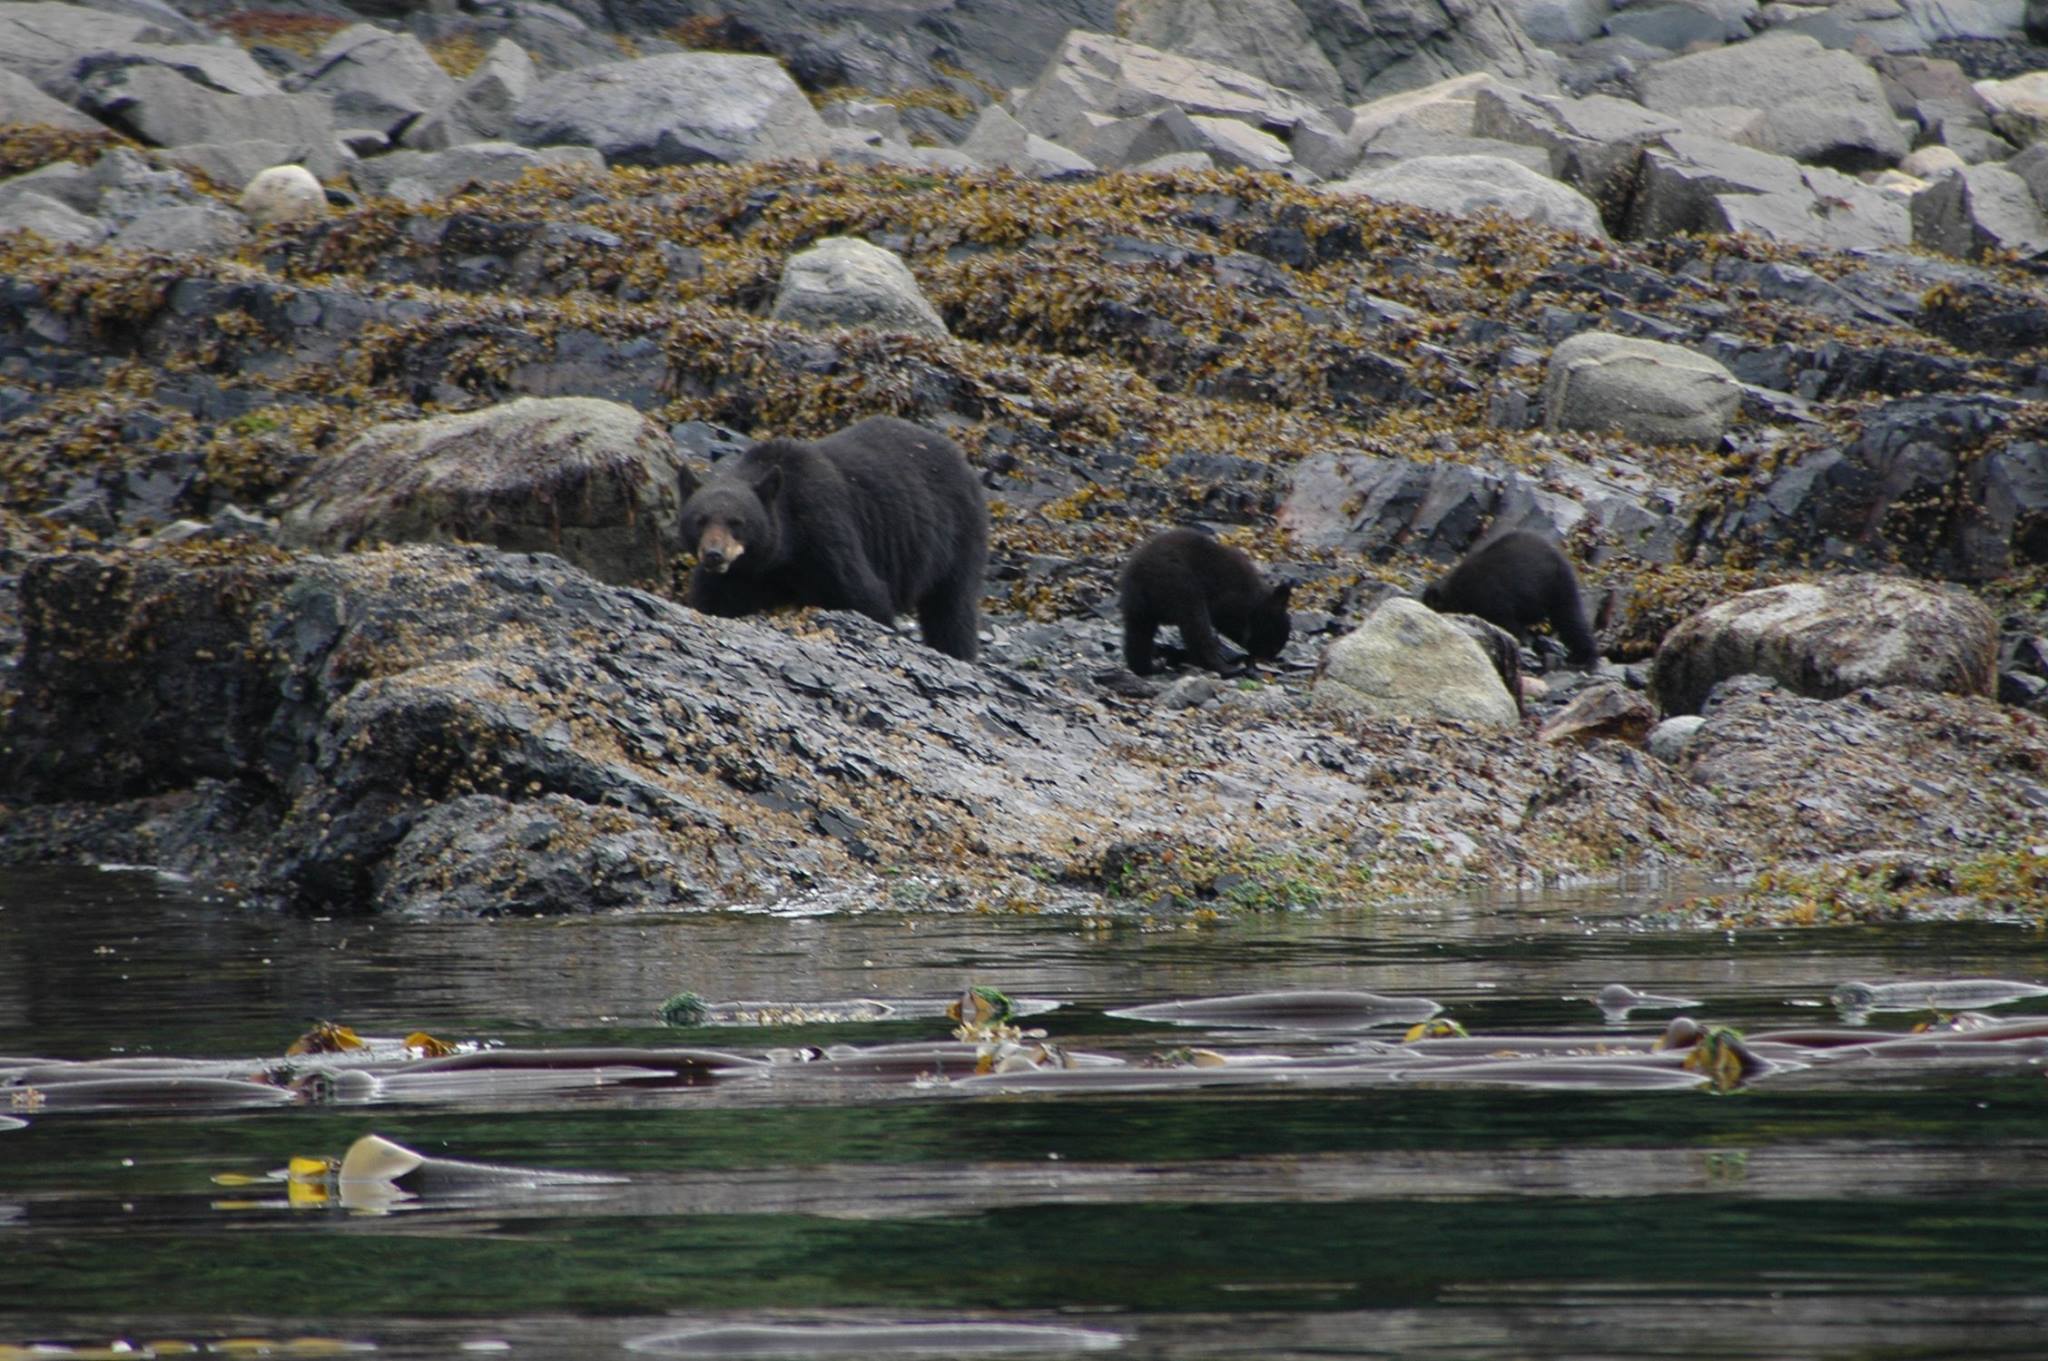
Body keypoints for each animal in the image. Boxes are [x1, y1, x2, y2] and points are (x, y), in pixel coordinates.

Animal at [678, 415, 987, 662]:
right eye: (700, 520)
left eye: (737, 523)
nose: (714, 554)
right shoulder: (736, 576)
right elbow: (709, 599)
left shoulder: (825, 531)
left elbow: (865, 595)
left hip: (957, 535)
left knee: (952, 607)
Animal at [1119, 527, 1293, 676]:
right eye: (1275, 641)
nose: (1271, 656)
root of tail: (1142, 575)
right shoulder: (1230, 595)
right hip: (1180, 585)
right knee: (1196, 625)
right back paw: (1226, 668)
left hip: (1136, 604)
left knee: (1138, 634)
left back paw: (1148, 667)